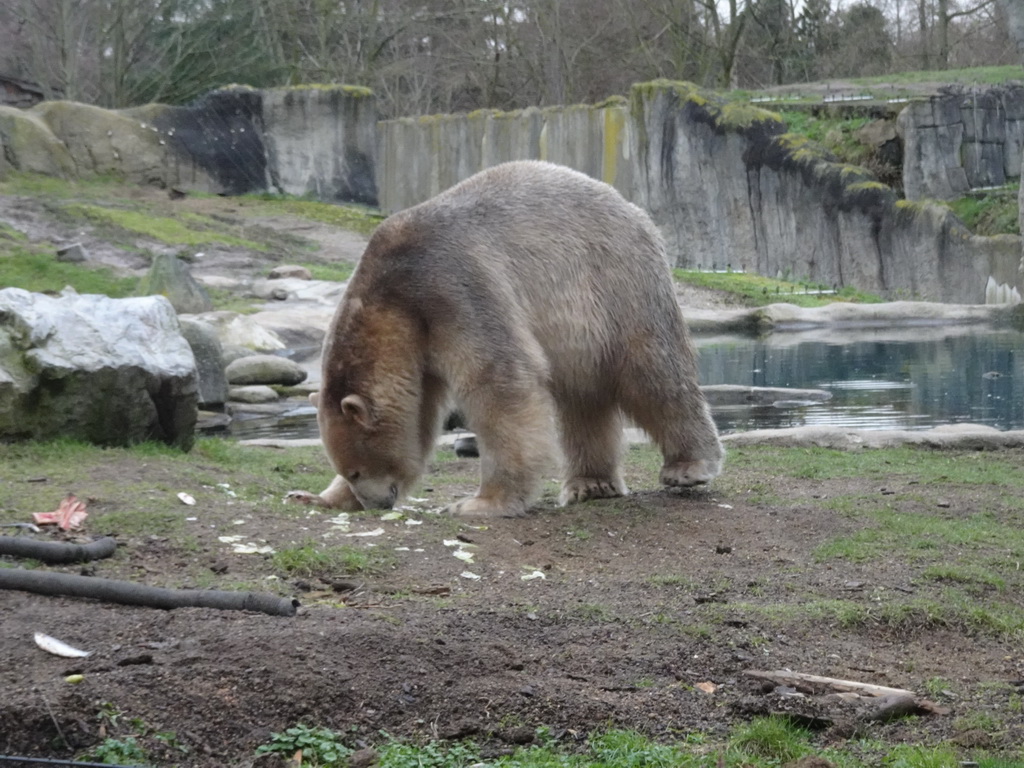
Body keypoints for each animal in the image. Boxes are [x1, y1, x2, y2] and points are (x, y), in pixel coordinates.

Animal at [286, 159, 720, 520]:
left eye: (358, 469)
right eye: (347, 471)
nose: (373, 503)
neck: (394, 296)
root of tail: (631, 208)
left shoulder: (454, 289)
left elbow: (500, 383)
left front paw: (479, 503)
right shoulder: (418, 346)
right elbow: (421, 418)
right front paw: (313, 496)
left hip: (618, 284)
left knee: (653, 373)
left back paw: (689, 466)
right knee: (582, 398)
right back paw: (590, 484)